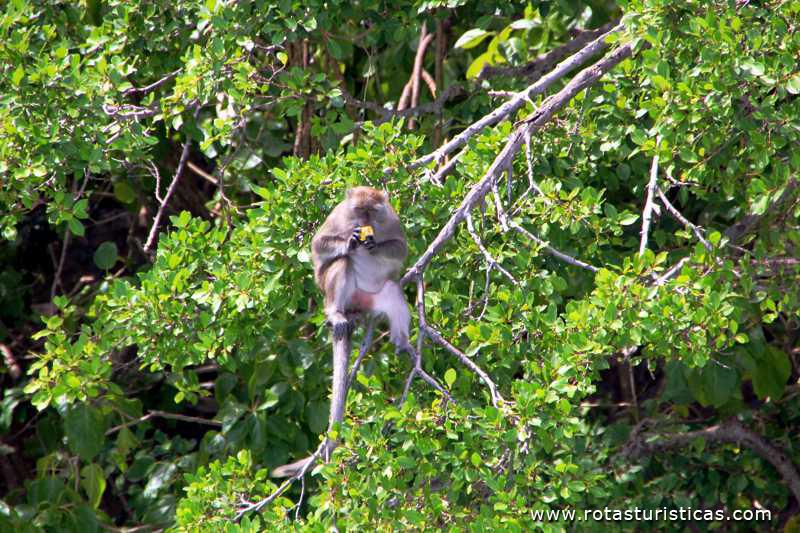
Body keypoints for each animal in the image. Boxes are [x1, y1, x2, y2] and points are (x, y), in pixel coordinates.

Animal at [271, 186, 411, 478]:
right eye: (358, 210)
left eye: (372, 211)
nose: (363, 221)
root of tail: (354, 306)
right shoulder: (338, 217)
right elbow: (319, 243)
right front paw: (349, 242)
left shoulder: (391, 219)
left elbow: (400, 247)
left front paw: (374, 245)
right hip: (333, 292)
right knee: (341, 265)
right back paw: (336, 313)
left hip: (373, 297)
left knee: (392, 290)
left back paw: (401, 341)